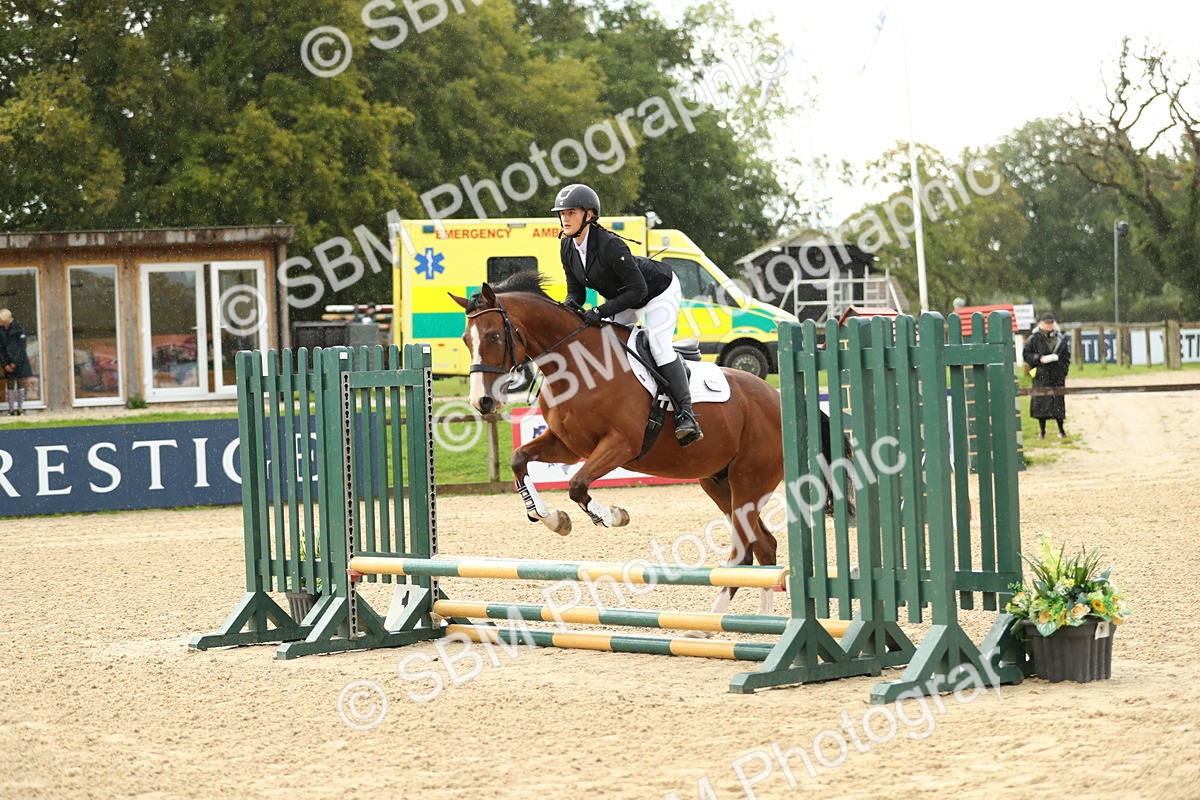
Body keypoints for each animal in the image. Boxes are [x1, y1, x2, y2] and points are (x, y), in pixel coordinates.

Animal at [450, 272, 837, 617]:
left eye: (495, 336)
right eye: (467, 340)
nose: (482, 402)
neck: (578, 365)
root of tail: (779, 397)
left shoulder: (621, 445)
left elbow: (577, 486)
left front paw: (612, 516)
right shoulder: (568, 444)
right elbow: (520, 460)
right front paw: (551, 518)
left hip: (750, 481)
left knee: (743, 552)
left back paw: (708, 626)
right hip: (719, 482)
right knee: (764, 547)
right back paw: (763, 620)